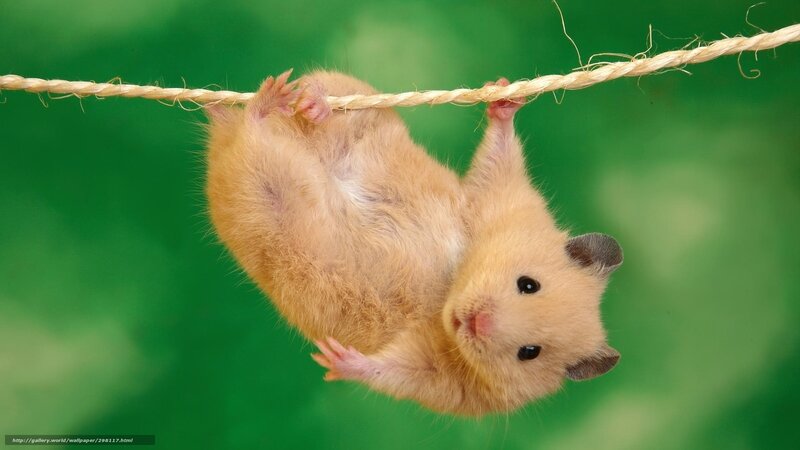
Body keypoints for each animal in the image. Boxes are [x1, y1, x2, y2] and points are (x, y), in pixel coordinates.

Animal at [205, 70, 623, 416]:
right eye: (528, 284)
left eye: (529, 353)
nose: (475, 322)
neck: (450, 288)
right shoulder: (498, 199)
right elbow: (498, 158)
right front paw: (504, 95)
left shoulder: (442, 379)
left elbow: (392, 371)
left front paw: (334, 359)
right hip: (361, 111)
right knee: (325, 97)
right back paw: (300, 100)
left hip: (261, 196)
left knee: (252, 139)